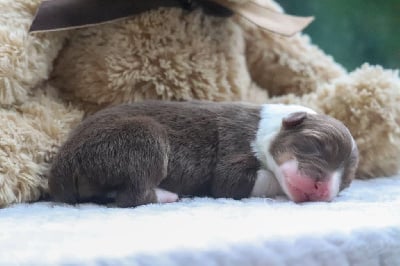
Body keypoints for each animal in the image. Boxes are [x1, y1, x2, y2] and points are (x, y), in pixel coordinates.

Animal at [47, 101, 360, 207]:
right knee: (131, 197)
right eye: (316, 144)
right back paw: (166, 195)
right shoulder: (233, 154)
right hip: (143, 136)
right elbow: (237, 181)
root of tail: (60, 169)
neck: (265, 129)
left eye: (345, 183)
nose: (322, 190)